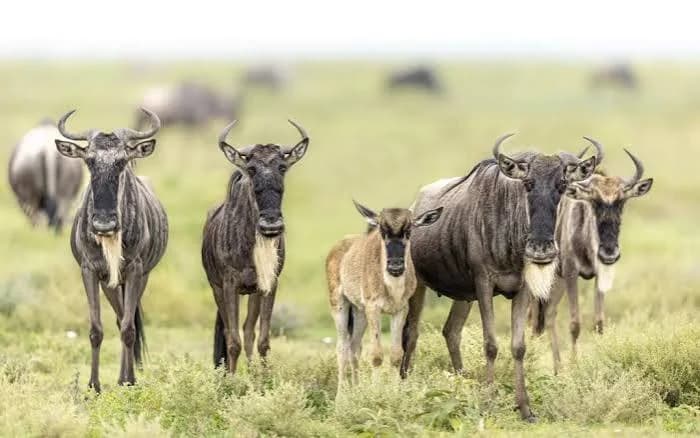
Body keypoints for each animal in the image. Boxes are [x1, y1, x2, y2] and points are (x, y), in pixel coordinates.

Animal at [55, 108, 168, 392]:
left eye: (121, 162)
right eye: (89, 161)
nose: (103, 223)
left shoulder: (136, 270)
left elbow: (129, 329)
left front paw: (126, 381)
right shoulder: (91, 271)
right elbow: (96, 329)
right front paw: (93, 386)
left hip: (139, 277)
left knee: (128, 322)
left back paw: (128, 378)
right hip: (111, 283)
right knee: (118, 318)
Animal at [202, 119, 309, 374]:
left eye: (282, 167)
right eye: (251, 169)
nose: (271, 224)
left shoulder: (269, 283)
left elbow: (262, 339)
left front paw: (263, 378)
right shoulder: (229, 285)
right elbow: (232, 341)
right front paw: (231, 381)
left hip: (251, 292)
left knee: (248, 330)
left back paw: (251, 372)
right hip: (217, 288)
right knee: (230, 331)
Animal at [326, 201, 443, 387]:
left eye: (408, 231)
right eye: (382, 231)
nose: (395, 266)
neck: (391, 287)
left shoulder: (399, 311)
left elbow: (396, 355)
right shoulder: (374, 309)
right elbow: (376, 355)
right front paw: (376, 390)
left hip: (359, 312)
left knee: (354, 347)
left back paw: (356, 388)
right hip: (339, 306)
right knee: (342, 348)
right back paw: (342, 392)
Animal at [402, 134, 602, 422]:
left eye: (562, 185)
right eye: (528, 183)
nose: (541, 249)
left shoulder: (522, 289)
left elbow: (518, 346)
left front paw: (525, 409)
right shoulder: (484, 284)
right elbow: (491, 344)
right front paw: (488, 402)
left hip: (463, 297)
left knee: (451, 331)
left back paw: (462, 384)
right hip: (417, 285)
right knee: (411, 332)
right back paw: (404, 385)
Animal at [533, 148, 653, 374]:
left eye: (621, 202)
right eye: (594, 202)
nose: (609, 253)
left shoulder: (599, 275)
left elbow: (598, 323)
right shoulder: (571, 274)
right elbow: (575, 323)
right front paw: (575, 367)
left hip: (557, 279)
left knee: (550, 314)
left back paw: (558, 369)